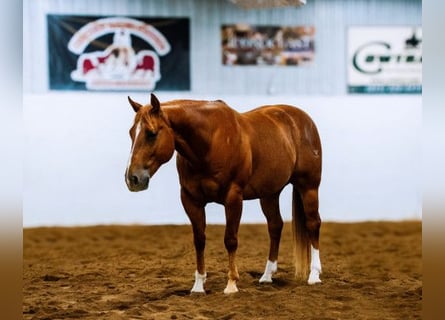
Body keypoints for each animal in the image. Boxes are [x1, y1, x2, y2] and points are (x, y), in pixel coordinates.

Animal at [123, 94, 320, 294]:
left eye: (151, 133)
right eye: (131, 133)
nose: (132, 179)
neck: (210, 143)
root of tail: (303, 120)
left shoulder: (233, 197)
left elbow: (230, 239)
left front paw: (231, 284)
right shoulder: (190, 199)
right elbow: (199, 240)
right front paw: (198, 286)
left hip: (309, 187)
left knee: (313, 223)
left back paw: (314, 275)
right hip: (269, 194)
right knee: (275, 226)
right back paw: (267, 276)